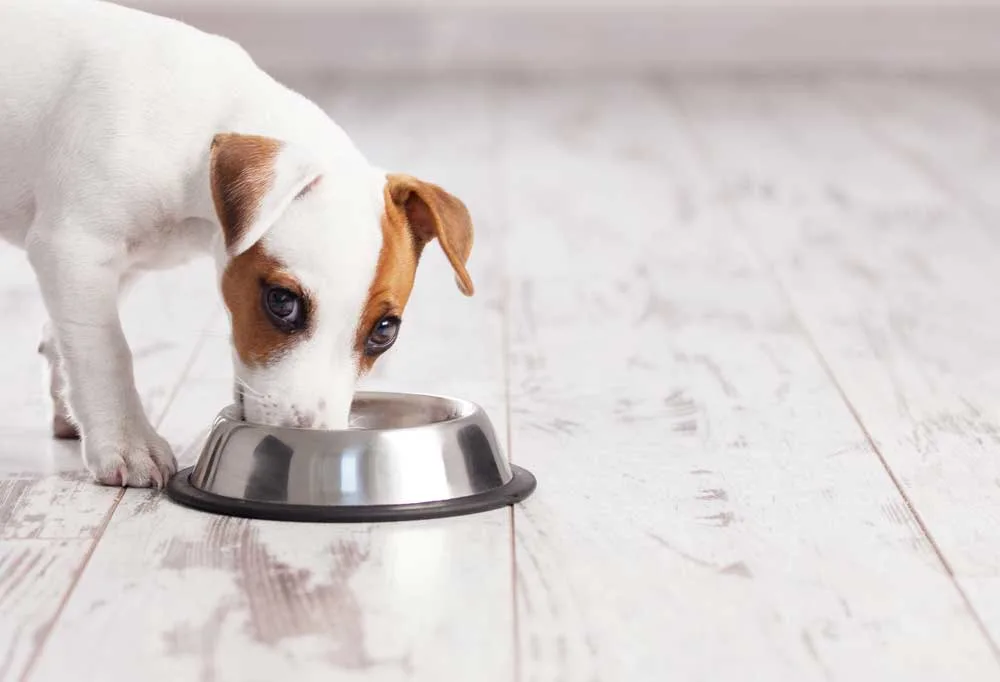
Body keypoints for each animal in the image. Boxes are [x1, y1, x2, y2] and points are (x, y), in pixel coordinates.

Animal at [0, 2, 476, 486]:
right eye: (281, 302)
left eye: (384, 331)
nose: (311, 438)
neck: (197, 137)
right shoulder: (75, 247)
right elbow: (105, 350)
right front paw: (128, 441)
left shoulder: (118, 265)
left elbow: (67, 336)